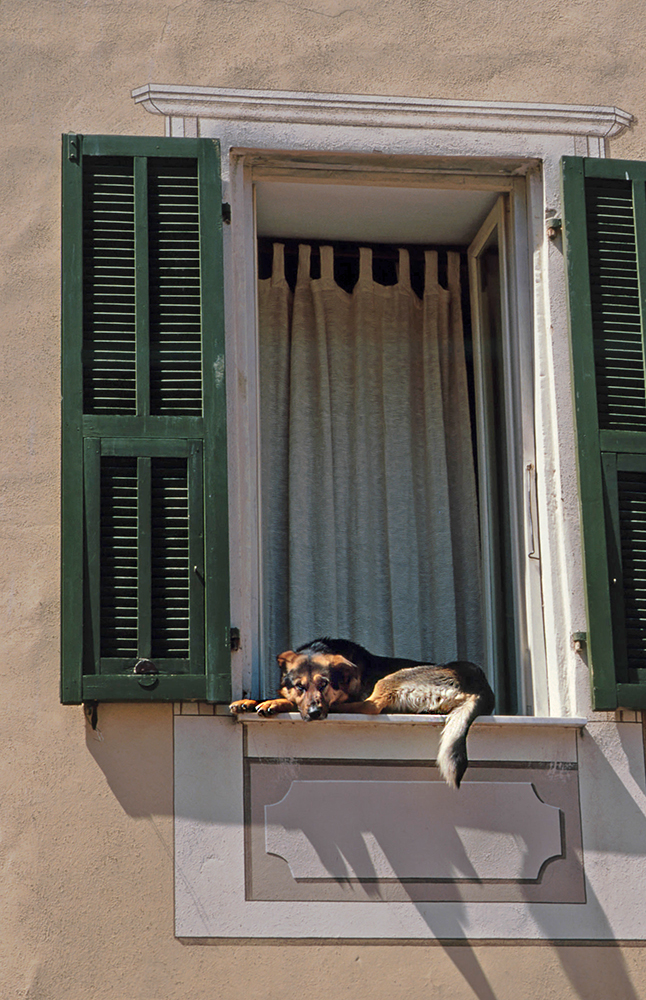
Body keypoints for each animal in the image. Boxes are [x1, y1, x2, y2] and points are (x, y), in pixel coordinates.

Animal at [232, 640, 496, 788]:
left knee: (371, 705)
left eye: (324, 684)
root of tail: (482, 686)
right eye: (300, 686)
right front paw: (248, 701)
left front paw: (274, 703)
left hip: (393, 677)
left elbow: (287, 700)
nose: (316, 713)